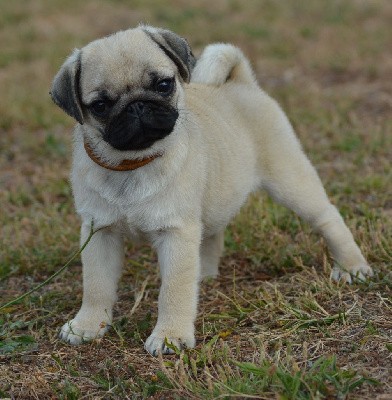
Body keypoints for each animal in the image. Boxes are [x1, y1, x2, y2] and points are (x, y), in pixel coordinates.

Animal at [50, 25, 372, 354]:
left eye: (164, 85)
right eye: (100, 106)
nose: (136, 106)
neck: (133, 163)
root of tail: (242, 82)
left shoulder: (177, 232)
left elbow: (174, 290)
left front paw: (170, 335)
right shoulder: (99, 232)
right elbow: (96, 285)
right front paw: (88, 325)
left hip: (290, 180)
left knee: (328, 218)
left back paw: (352, 266)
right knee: (212, 236)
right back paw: (203, 276)